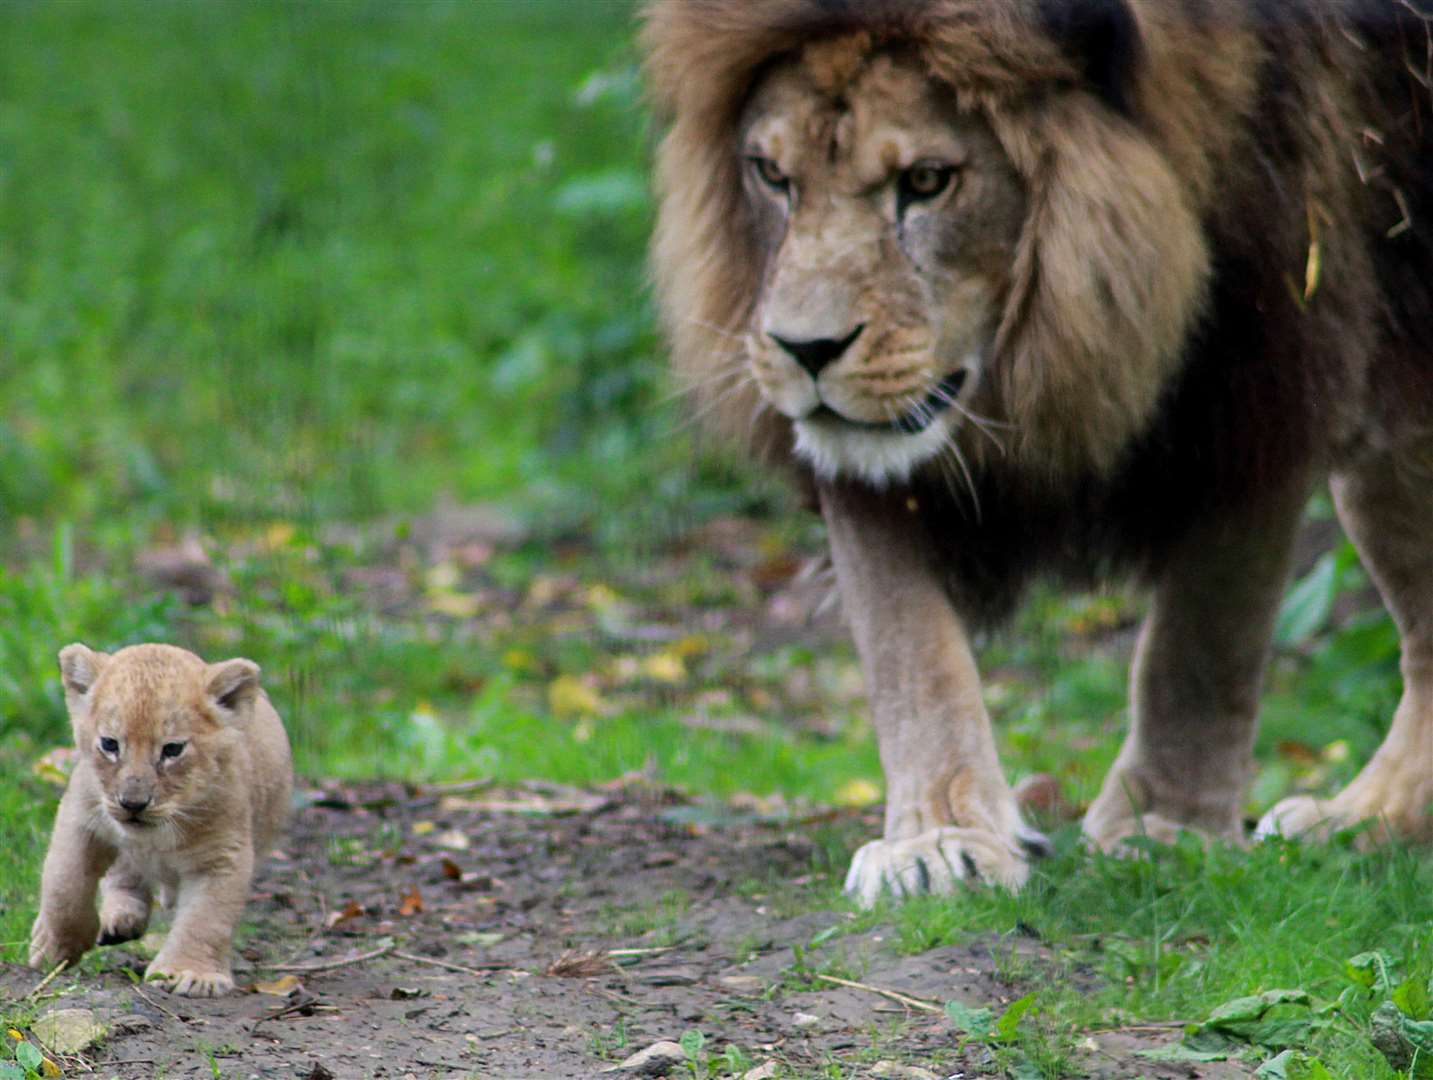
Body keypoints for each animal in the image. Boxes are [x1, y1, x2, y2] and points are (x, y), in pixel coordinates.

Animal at [647, 0, 1433, 899]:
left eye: (926, 181)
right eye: (771, 176)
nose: (803, 350)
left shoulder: (1267, 361)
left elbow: (1204, 638)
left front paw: (1164, 830)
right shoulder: (866, 447)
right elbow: (906, 641)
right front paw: (940, 842)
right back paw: (1365, 821)